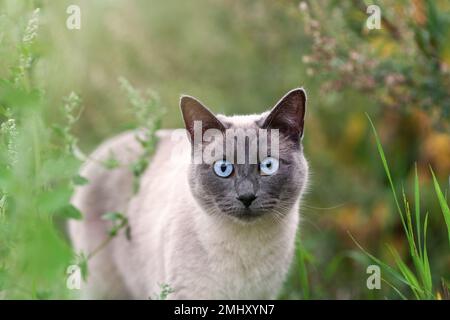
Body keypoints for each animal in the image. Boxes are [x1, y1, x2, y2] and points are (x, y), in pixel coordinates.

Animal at [68, 86, 310, 298]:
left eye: (268, 166)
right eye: (223, 168)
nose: (246, 196)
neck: (246, 248)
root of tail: (101, 149)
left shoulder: (263, 294)